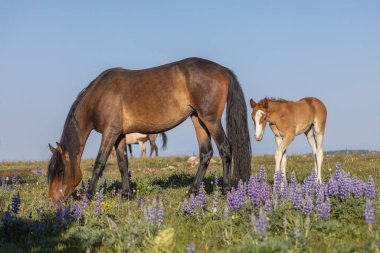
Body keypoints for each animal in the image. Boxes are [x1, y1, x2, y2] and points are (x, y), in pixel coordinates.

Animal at [47, 57, 251, 202]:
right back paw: (191, 192)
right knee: (206, 153)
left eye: (60, 171)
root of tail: (223, 70)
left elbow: (99, 164)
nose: (52, 202)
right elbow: (123, 164)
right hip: (197, 118)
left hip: (210, 119)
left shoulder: (110, 133)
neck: (99, 97)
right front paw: (126, 195)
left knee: (225, 148)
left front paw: (88, 195)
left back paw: (226, 190)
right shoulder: (119, 135)